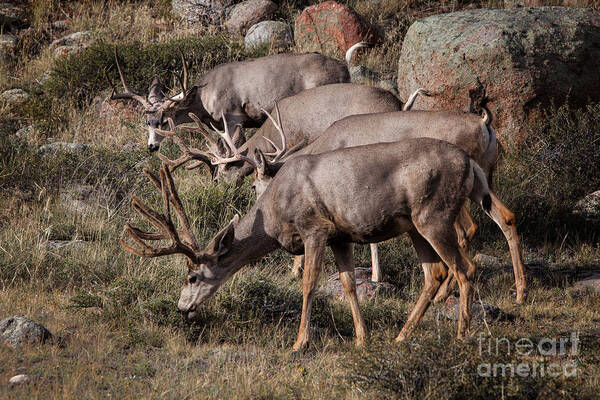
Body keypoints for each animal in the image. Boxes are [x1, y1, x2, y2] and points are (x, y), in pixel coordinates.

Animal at [108, 42, 370, 152]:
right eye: (147, 122)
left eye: (163, 121)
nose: (152, 147)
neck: (204, 98)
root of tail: (344, 66)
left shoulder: (233, 116)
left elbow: (234, 148)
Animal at [122, 137, 496, 350]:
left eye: (192, 276)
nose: (182, 308)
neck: (276, 213)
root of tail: (471, 164)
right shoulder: (341, 235)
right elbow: (347, 283)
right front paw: (361, 339)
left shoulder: (314, 227)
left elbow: (309, 283)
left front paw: (299, 343)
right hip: (415, 224)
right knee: (434, 273)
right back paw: (401, 336)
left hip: (434, 213)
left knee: (465, 268)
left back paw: (461, 337)